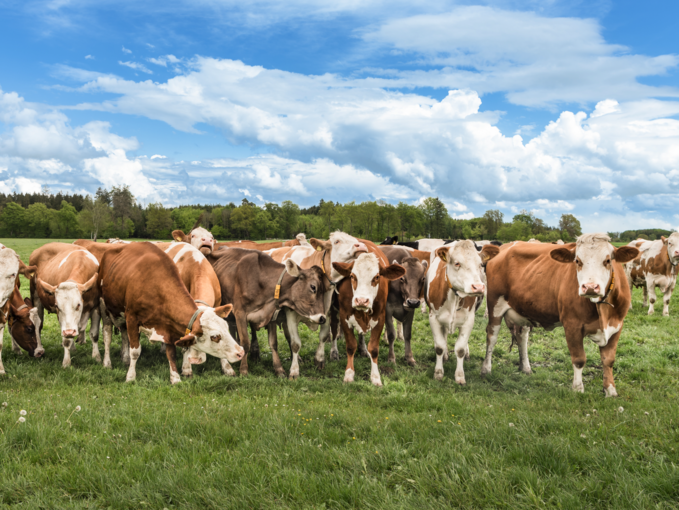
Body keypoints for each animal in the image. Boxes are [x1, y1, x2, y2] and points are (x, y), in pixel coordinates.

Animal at [97, 243, 243, 382]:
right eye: (215, 337)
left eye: (226, 328)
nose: (241, 352)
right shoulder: (132, 318)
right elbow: (136, 351)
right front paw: (130, 377)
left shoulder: (168, 323)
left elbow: (171, 353)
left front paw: (176, 378)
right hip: (104, 307)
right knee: (107, 336)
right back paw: (107, 363)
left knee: (123, 334)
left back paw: (125, 358)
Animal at [207, 247, 330, 378]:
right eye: (313, 287)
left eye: (324, 290)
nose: (322, 318)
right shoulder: (240, 314)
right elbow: (245, 343)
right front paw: (244, 370)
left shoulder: (271, 315)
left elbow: (273, 343)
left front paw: (279, 369)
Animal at [424, 242, 500, 382]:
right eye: (457, 263)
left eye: (480, 264)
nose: (478, 287)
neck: (455, 297)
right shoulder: (433, 318)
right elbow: (439, 347)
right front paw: (438, 372)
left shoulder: (468, 320)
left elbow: (460, 349)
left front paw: (459, 376)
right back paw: (445, 355)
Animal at [484, 233, 636, 396]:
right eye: (577, 261)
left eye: (607, 260)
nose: (590, 287)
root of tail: (506, 246)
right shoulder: (572, 325)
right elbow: (579, 359)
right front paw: (578, 389)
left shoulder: (617, 325)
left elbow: (608, 360)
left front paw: (610, 390)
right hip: (495, 305)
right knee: (492, 336)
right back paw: (486, 369)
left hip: (522, 309)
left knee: (522, 337)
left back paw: (525, 368)